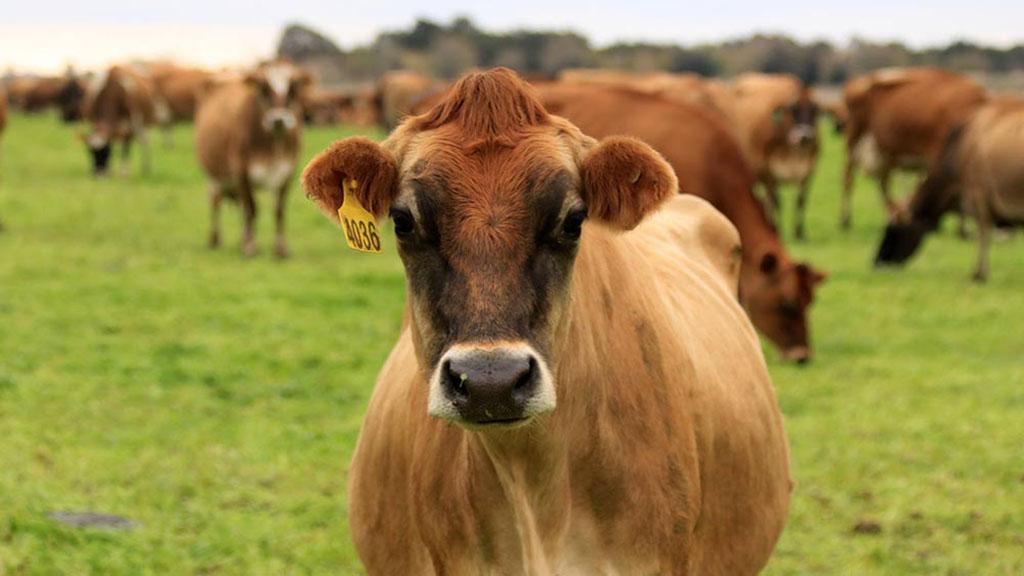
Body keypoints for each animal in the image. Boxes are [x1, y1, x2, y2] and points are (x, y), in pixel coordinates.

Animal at [195, 60, 311, 258]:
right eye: (264, 89)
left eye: (293, 88)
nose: (278, 120)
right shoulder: (242, 172)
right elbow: (251, 209)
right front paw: (250, 247)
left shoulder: (287, 173)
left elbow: (279, 210)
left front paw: (280, 248)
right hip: (214, 177)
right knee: (216, 203)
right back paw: (215, 239)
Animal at [840, 67, 987, 230]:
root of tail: (863, 80)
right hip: (854, 139)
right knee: (848, 178)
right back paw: (846, 220)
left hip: (884, 153)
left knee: (883, 183)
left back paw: (892, 216)